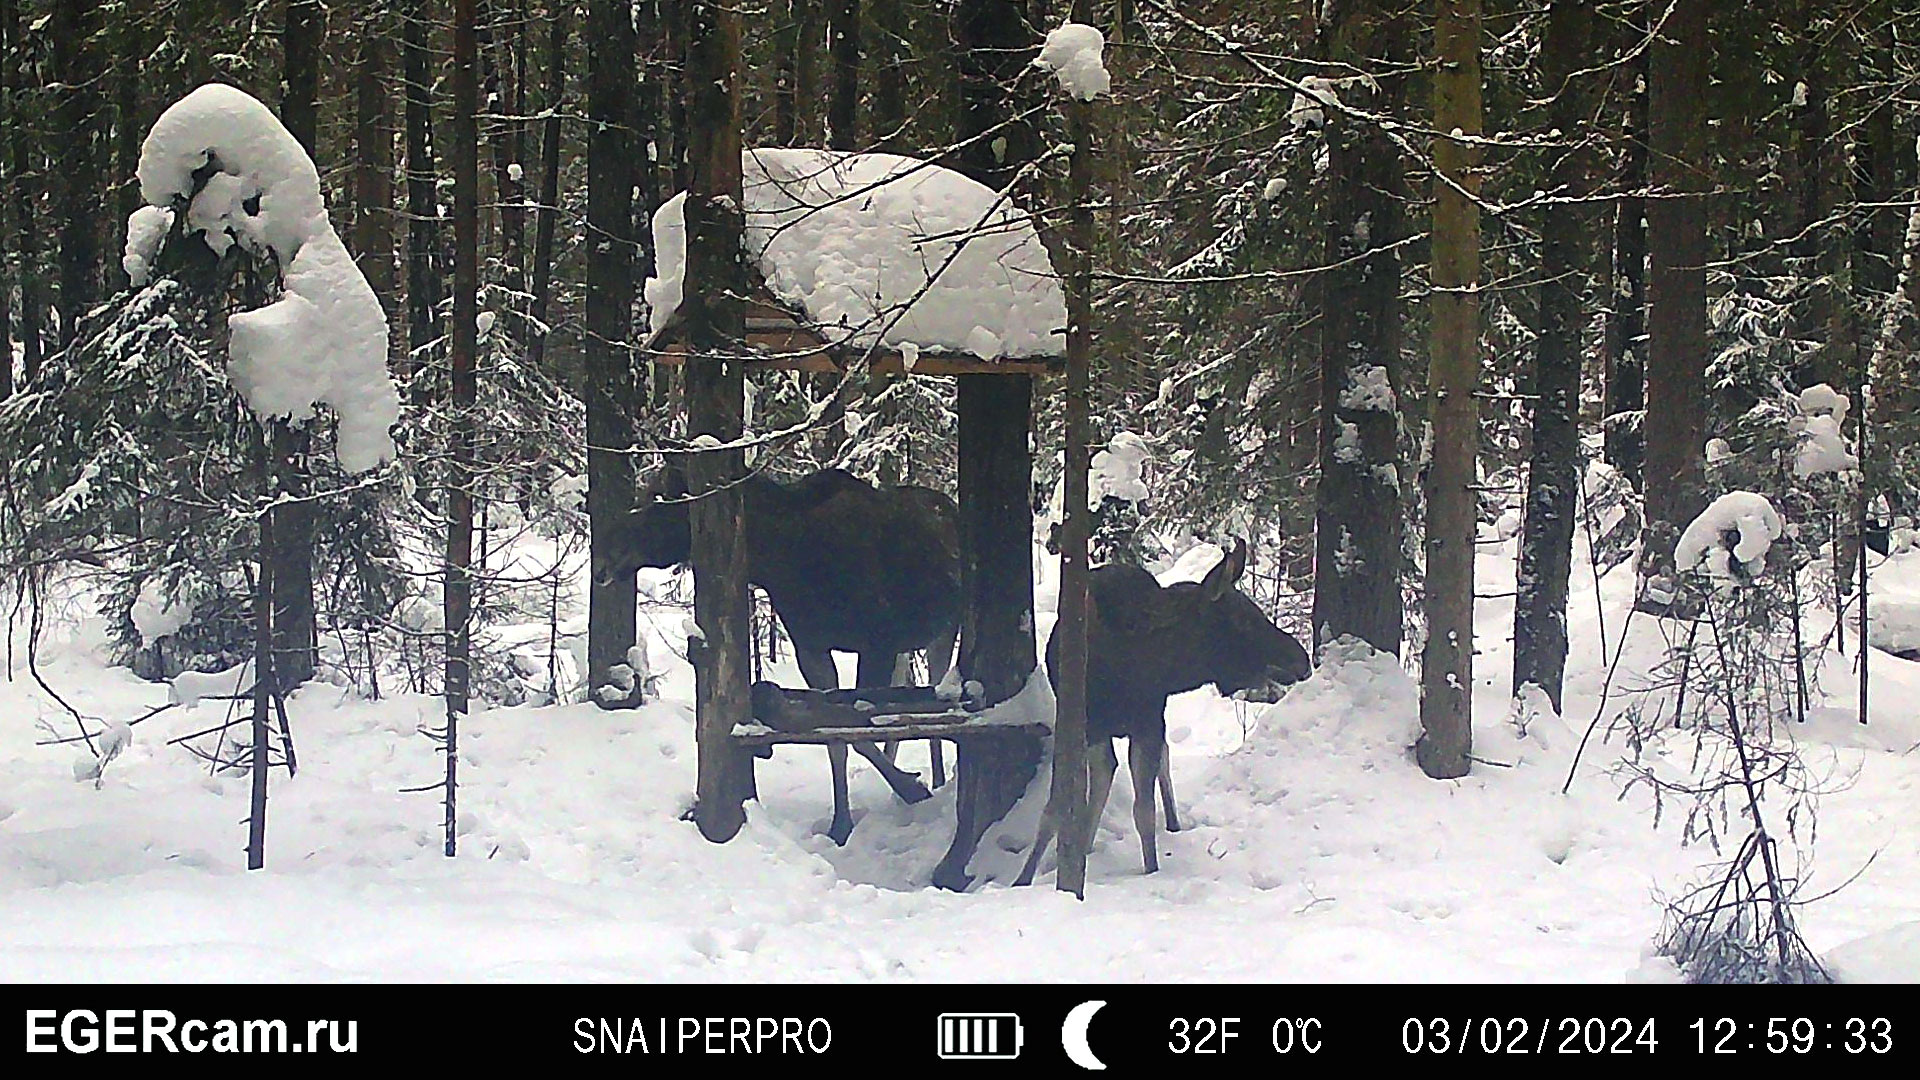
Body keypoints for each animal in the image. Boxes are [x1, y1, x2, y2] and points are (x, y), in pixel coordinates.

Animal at [595, 463, 960, 841]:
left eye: (656, 500)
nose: (602, 560)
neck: (779, 557)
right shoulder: (811, 648)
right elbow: (838, 738)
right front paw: (841, 824)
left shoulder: (877, 644)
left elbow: (860, 728)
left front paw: (911, 788)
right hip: (910, 644)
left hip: (946, 628)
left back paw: (938, 780)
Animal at [1013, 538, 1313, 883]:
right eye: (1245, 620)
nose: (1301, 659)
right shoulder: (1080, 721)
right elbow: (1054, 808)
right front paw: (1023, 879)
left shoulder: (1148, 721)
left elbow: (1143, 811)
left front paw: (1151, 869)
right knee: (1106, 769)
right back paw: (1084, 846)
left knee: (1157, 761)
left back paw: (1168, 822)